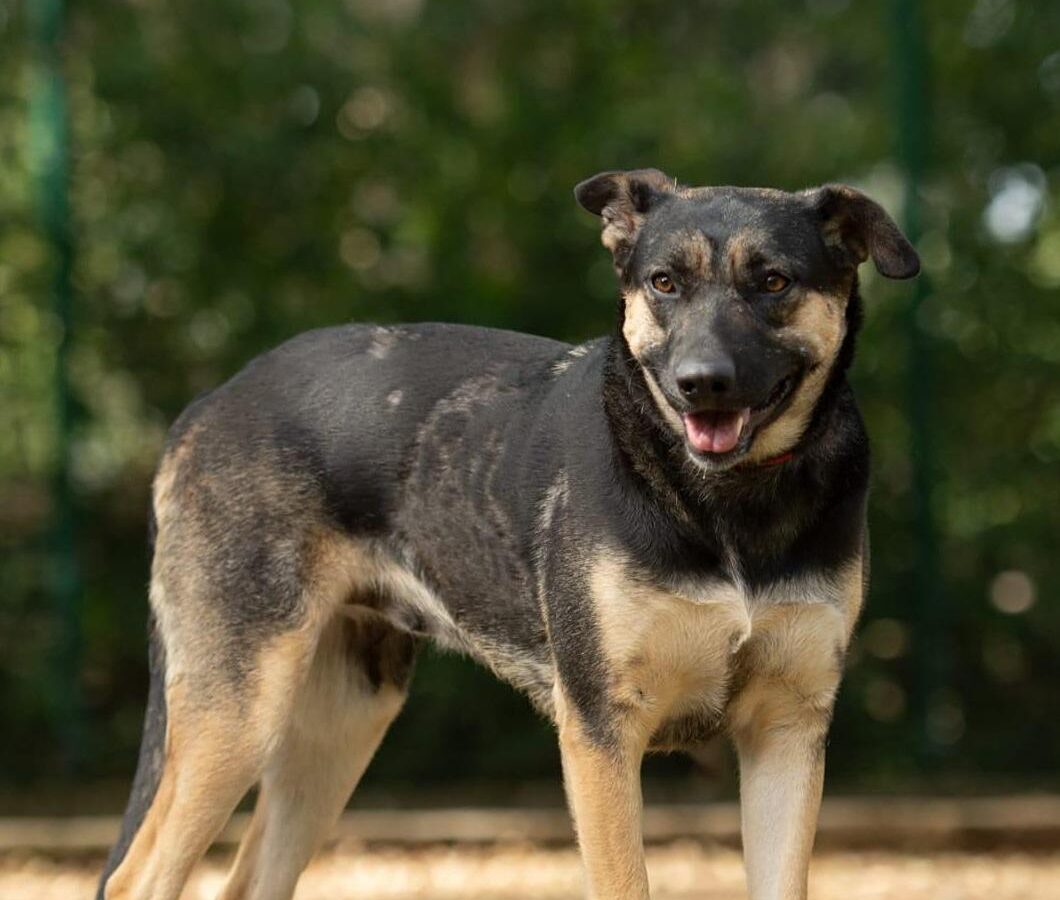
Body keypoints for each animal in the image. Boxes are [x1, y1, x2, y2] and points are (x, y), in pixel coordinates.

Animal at [95, 168, 915, 898]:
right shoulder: (601, 733)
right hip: (240, 711)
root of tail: (206, 406)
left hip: (339, 722)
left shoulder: (786, 734)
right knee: (139, 879)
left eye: (773, 282)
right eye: (664, 284)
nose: (700, 382)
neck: (729, 502)